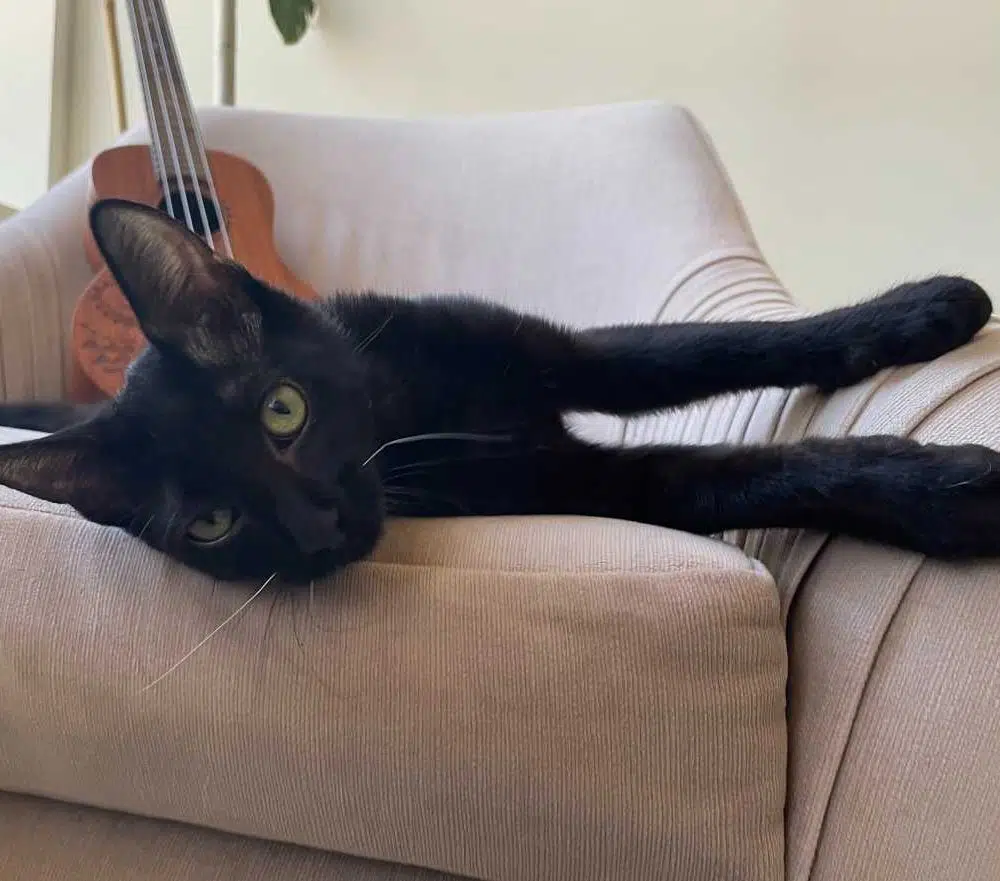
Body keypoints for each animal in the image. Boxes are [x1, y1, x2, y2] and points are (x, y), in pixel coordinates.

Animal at [0, 196, 996, 584]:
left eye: (283, 409)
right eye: (213, 522)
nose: (318, 524)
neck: (405, 404)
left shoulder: (564, 354)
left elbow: (711, 346)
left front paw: (924, 311)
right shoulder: (578, 479)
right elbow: (742, 472)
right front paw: (945, 490)